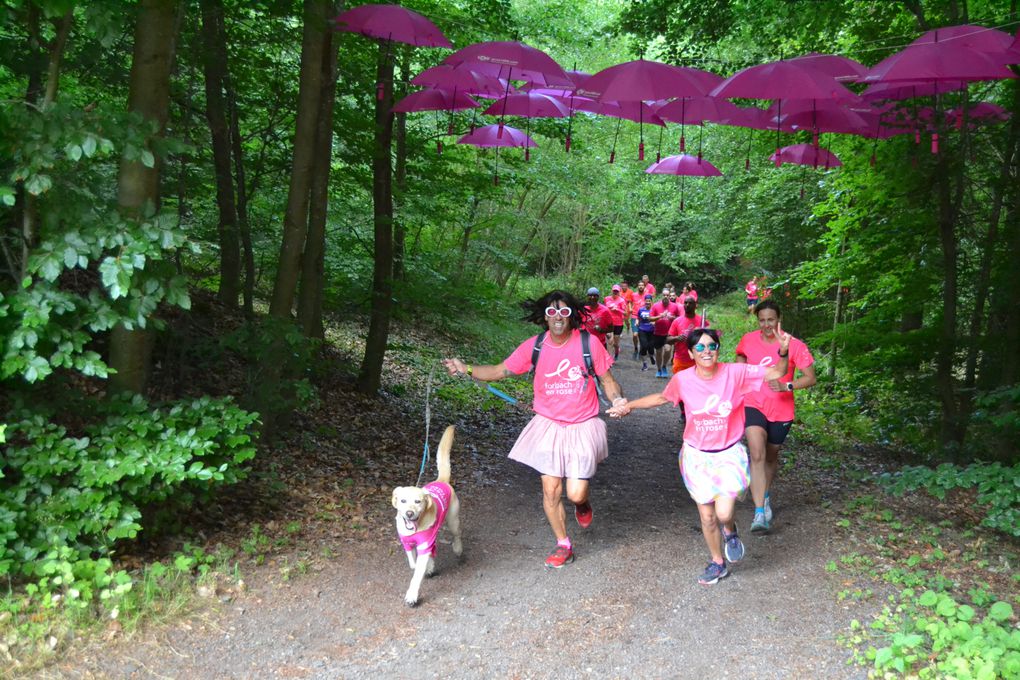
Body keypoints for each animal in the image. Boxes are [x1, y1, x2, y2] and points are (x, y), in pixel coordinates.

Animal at [389, 426, 463, 607]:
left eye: (418, 501)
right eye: (403, 500)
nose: (409, 513)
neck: (415, 529)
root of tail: (441, 480)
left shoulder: (424, 544)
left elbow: (416, 575)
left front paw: (412, 595)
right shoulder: (408, 543)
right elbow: (413, 562)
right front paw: (424, 566)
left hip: (453, 520)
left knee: (457, 535)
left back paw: (458, 548)